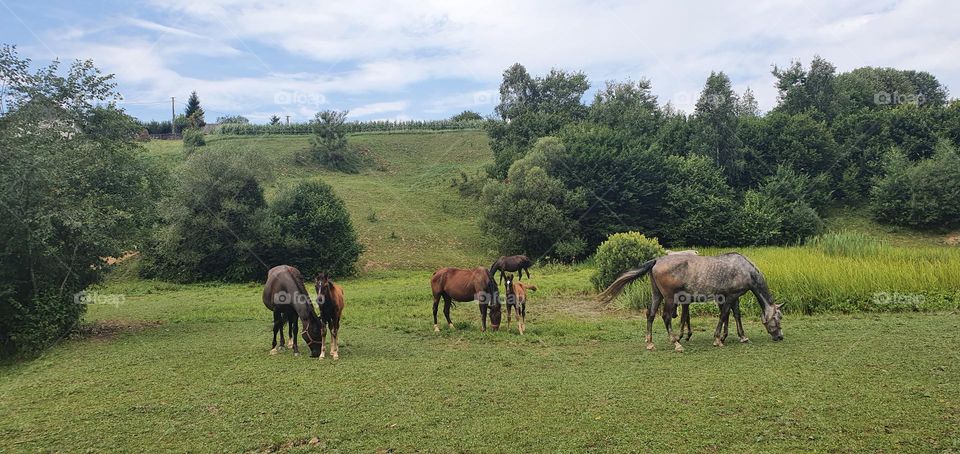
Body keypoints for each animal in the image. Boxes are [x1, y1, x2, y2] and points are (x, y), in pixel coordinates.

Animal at [596, 254, 784, 352]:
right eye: (779, 317)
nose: (780, 337)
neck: (745, 269)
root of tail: (657, 260)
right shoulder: (730, 296)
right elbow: (724, 315)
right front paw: (718, 339)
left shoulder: (733, 297)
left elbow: (734, 315)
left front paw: (740, 336)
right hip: (669, 298)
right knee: (665, 317)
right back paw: (676, 343)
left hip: (657, 295)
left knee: (650, 314)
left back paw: (650, 342)